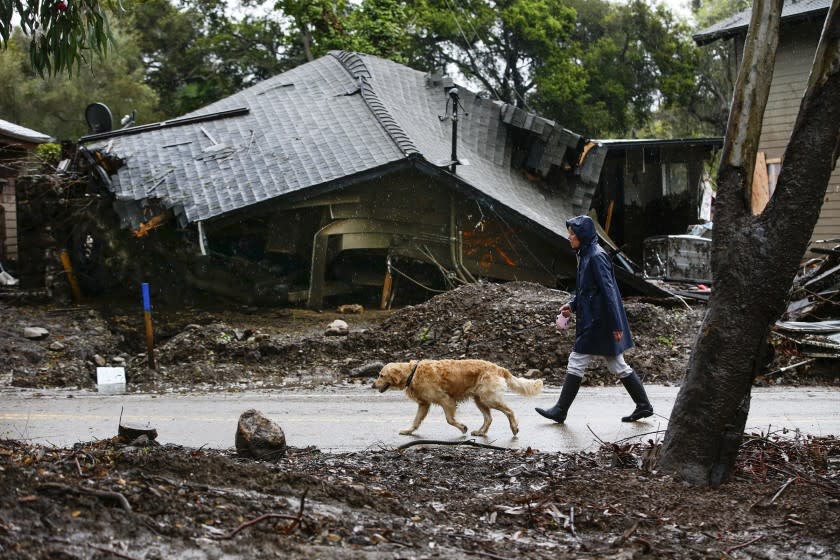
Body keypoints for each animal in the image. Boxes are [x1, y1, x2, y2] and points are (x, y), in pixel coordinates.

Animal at [374, 358, 544, 438]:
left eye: (381, 375)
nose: (373, 384)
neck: (412, 373)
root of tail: (498, 367)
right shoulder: (424, 404)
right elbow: (416, 422)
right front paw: (408, 431)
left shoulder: (445, 400)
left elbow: (450, 420)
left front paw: (462, 427)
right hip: (479, 399)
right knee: (488, 418)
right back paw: (481, 432)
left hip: (488, 398)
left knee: (509, 411)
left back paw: (514, 428)